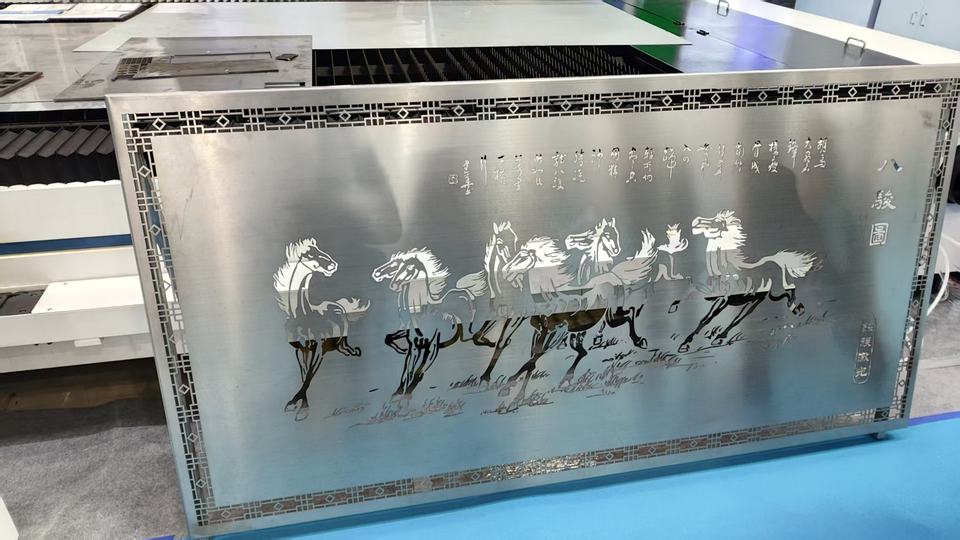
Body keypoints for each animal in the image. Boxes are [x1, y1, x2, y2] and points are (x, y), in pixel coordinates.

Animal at [272, 239, 369, 421]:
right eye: (310, 254)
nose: (333, 264)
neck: (302, 314)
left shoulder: (318, 347)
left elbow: (309, 374)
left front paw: (301, 407)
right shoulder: (299, 349)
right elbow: (304, 373)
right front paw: (297, 403)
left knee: (345, 347)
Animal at [678, 211, 819, 353]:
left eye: (718, 222)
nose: (696, 221)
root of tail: (775, 261)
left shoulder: (725, 299)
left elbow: (712, 318)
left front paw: (688, 344)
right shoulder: (715, 297)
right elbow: (700, 310)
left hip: (767, 295)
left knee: (790, 289)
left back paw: (796, 308)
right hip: (766, 296)